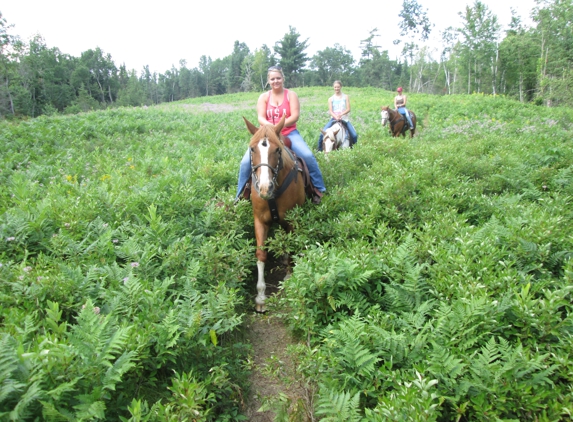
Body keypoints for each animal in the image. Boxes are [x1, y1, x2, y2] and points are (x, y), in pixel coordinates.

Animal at [244, 113, 306, 312]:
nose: (265, 188)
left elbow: (292, 247)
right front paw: (261, 297)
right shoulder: (260, 220)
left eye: (278, 150)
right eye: (252, 149)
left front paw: (289, 276)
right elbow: (261, 254)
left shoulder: (292, 222)